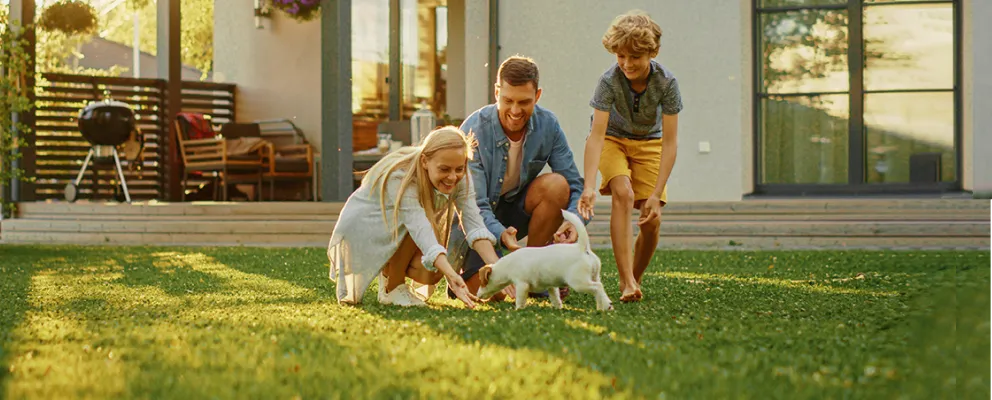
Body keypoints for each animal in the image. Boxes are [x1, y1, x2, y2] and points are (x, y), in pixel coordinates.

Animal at [474, 209, 612, 312]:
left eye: (482, 282)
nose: (476, 296)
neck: (507, 266)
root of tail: (582, 248)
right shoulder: (551, 286)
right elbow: (555, 298)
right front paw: (558, 308)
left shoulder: (522, 285)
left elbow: (520, 299)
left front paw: (518, 309)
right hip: (594, 276)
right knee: (599, 291)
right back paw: (601, 307)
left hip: (579, 282)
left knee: (598, 287)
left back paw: (606, 305)